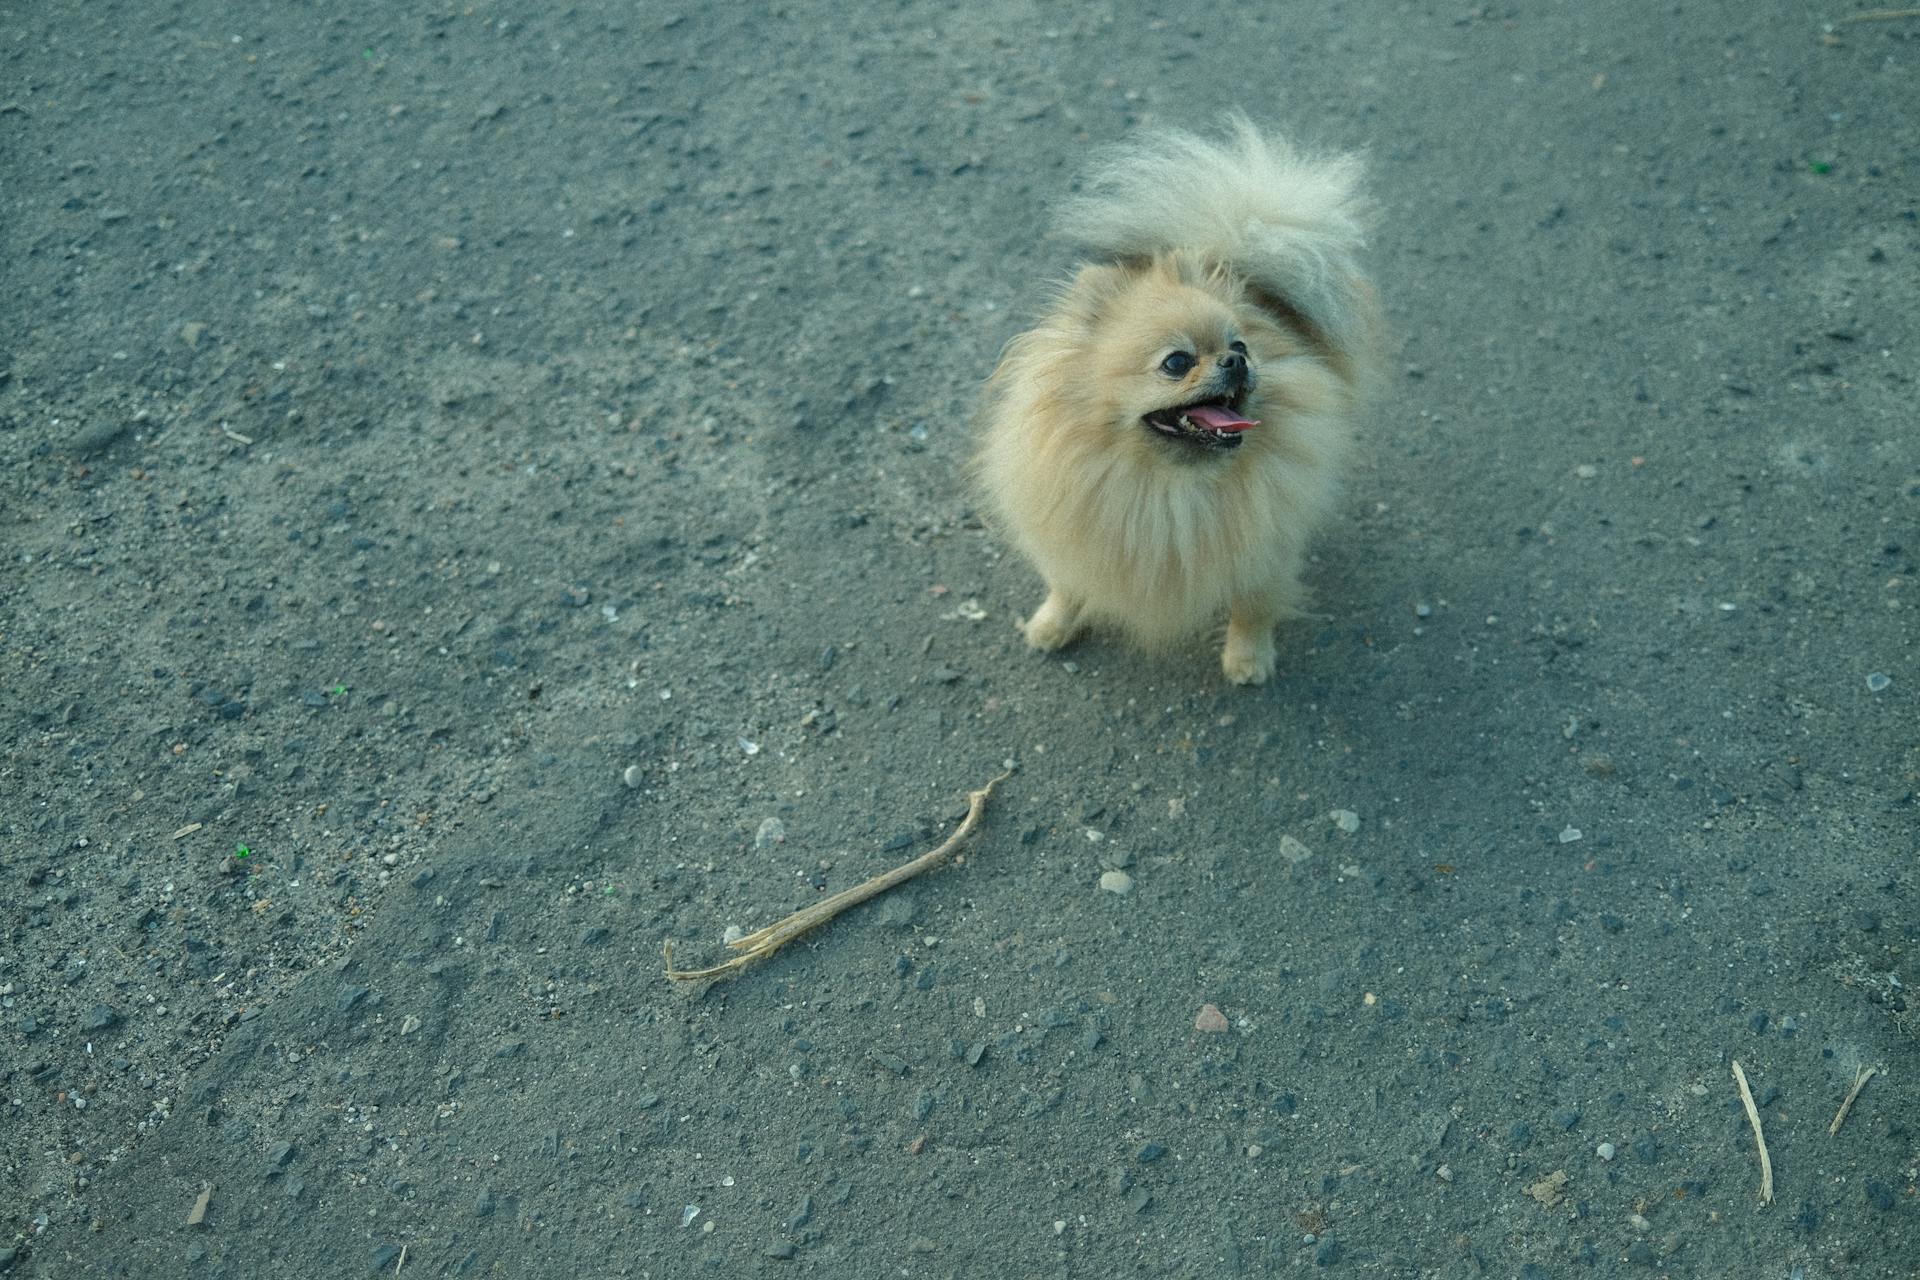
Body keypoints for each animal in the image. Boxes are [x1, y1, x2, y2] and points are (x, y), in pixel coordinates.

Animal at [975, 115, 1382, 687]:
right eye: (1176, 362)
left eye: (1241, 346)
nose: (1235, 361)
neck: (1169, 487)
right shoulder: (1077, 532)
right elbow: (1068, 582)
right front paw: (1052, 624)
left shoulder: (1265, 551)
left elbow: (1254, 605)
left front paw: (1248, 659)